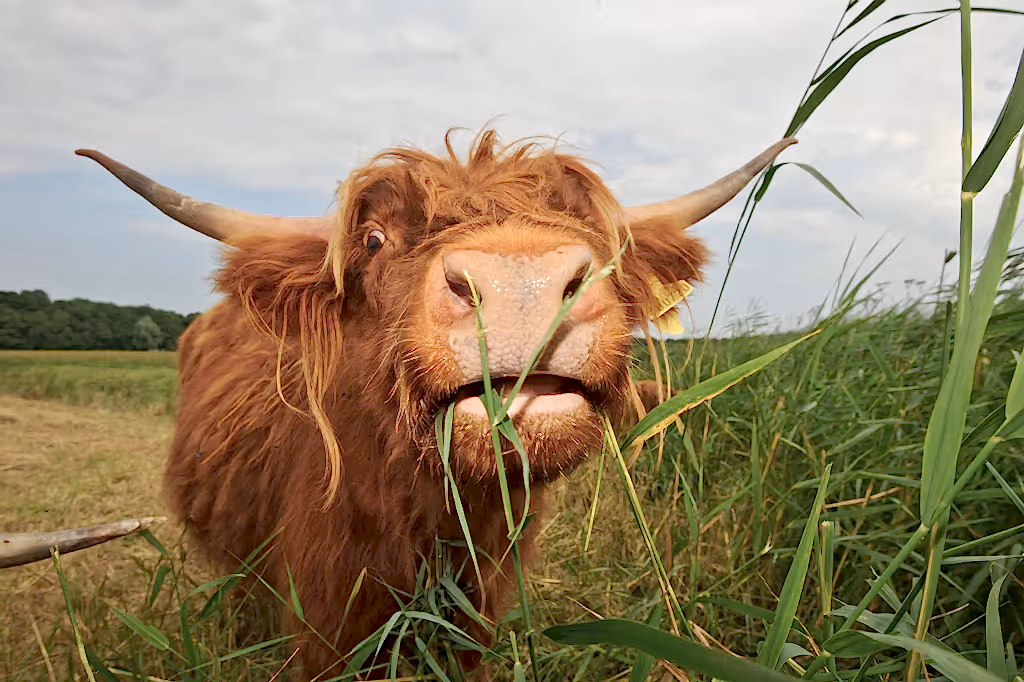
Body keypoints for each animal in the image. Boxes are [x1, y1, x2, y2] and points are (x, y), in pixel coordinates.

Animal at [2, 130, 794, 678]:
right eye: (375, 239)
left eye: (600, 238)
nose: (523, 280)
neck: (429, 530)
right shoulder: (325, 630)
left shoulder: (477, 623)